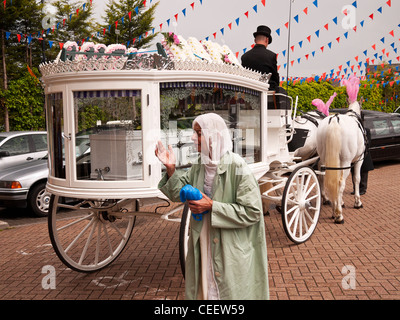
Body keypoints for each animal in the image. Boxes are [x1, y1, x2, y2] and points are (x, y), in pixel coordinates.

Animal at [316, 76, 366, 224]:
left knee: (327, 179)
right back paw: (338, 215)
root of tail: (334, 120)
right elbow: (356, 179)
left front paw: (341, 202)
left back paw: (334, 209)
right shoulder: (359, 160)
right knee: (340, 183)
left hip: (326, 159)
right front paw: (357, 202)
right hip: (345, 162)